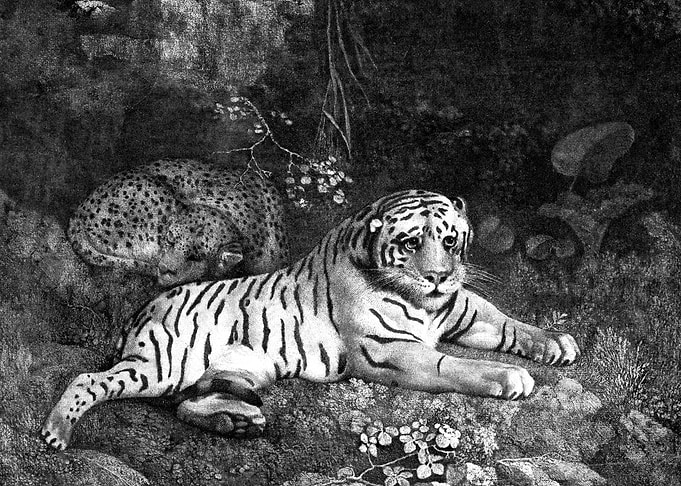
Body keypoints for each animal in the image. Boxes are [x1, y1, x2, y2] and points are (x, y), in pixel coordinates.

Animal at [41, 190, 580, 450]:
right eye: (410, 244)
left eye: (450, 240)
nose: (438, 276)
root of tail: (144, 307)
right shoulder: (385, 351)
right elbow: (454, 365)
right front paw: (509, 376)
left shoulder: (461, 307)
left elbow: (506, 322)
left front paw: (556, 343)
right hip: (161, 364)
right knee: (89, 379)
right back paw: (56, 433)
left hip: (243, 371)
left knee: (188, 404)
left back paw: (238, 423)